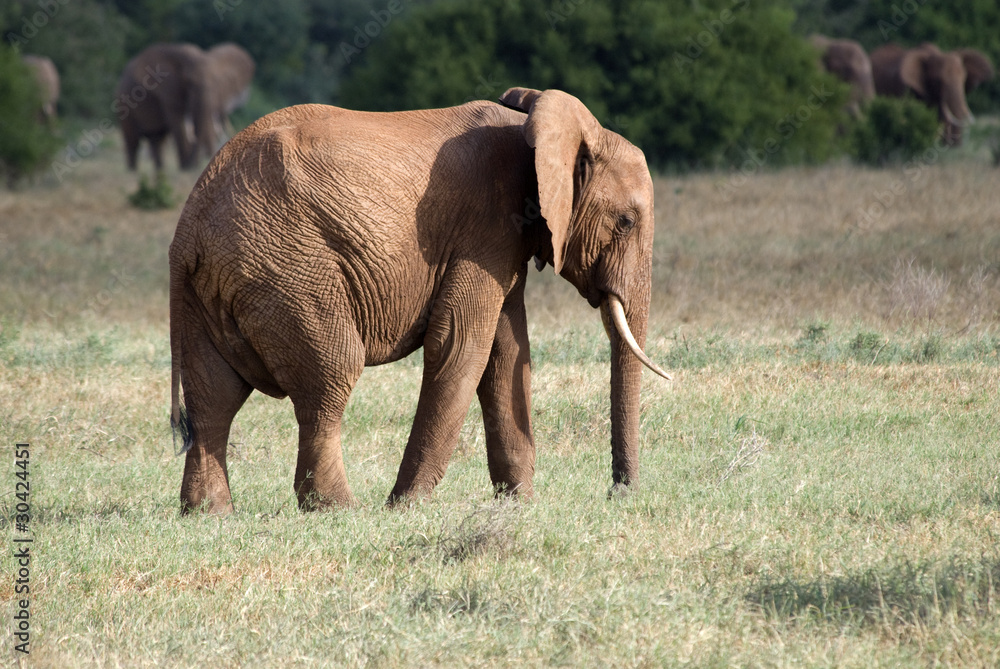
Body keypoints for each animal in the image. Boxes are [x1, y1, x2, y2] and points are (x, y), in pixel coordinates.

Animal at [168, 87, 672, 515]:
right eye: (626, 222)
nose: (619, 494)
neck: (531, 124)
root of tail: (189, 228)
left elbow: (507, 351)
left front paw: (519, 506)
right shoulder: (484, 228)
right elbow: (461, 345)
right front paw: (406, 507)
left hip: (212, 286)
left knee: (213, 398)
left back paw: (209, 514)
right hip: (289, 268)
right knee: (330, 377)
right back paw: (340, 510)